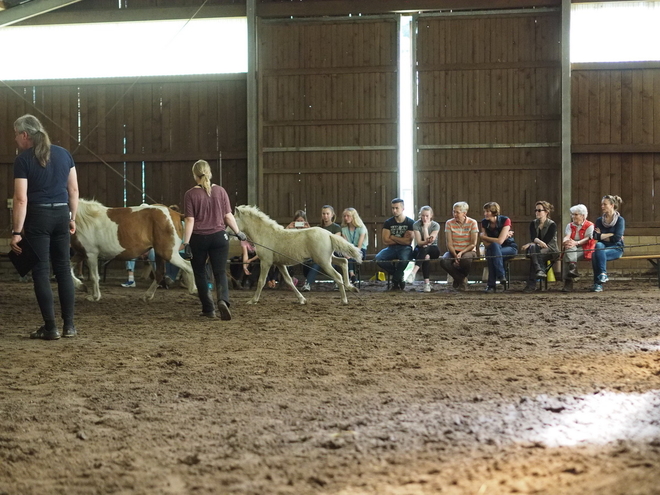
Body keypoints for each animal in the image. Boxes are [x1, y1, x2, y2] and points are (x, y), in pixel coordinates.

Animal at [235, 205, 364, 306]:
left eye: (235, 219)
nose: (231, 232)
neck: (265, 234)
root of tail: (329, 234)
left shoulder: (266, 262)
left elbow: (261, 281)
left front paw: (253, 300)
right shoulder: (280, 264)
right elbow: (289, 281)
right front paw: (302, 300)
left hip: (323, 262)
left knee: (338, 276)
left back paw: (344, 300)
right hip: (328, 259)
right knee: (344, 262)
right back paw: (351, 287)